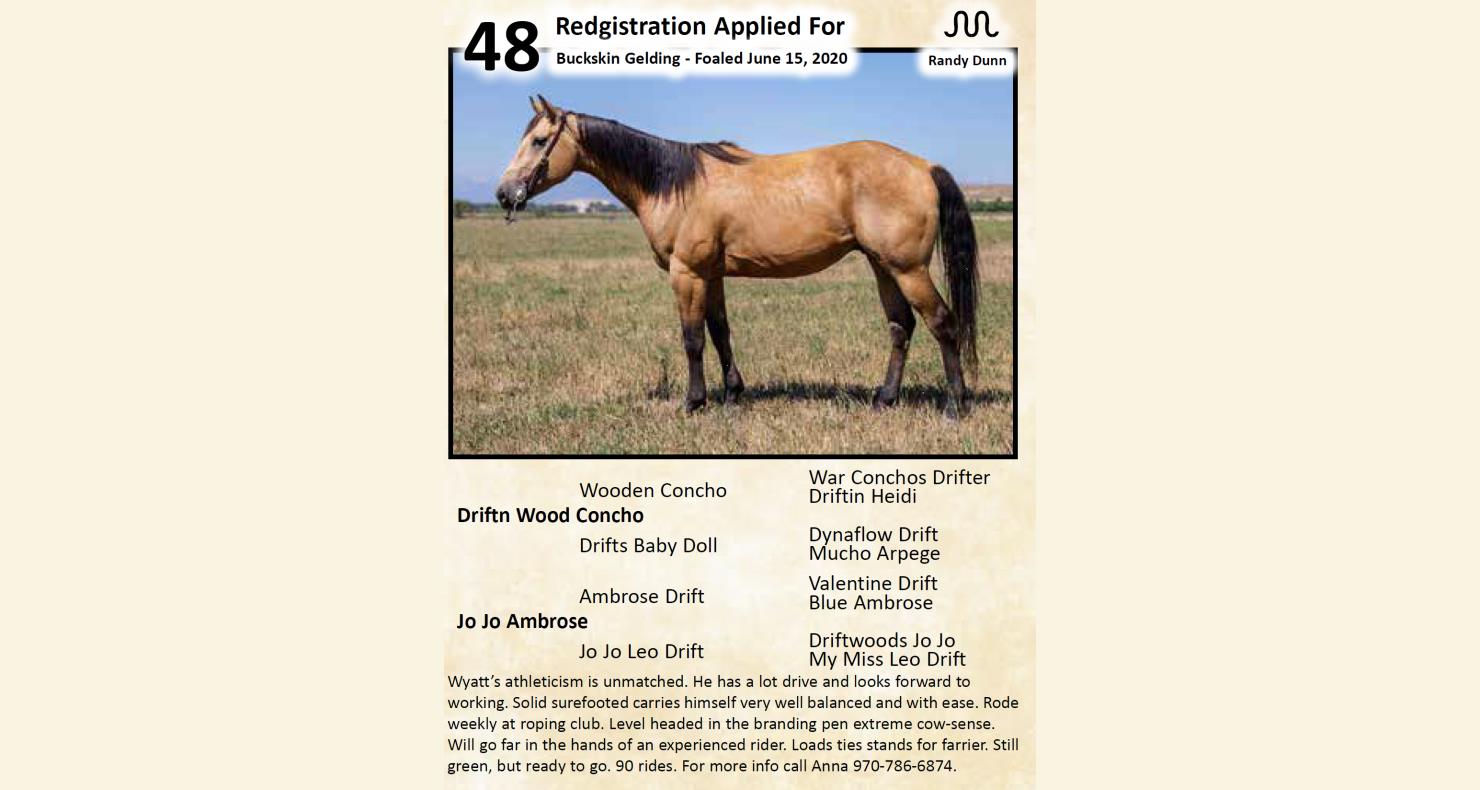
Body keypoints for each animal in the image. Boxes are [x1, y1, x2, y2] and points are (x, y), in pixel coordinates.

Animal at [494, 95, 981, 418]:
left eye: (539, 141)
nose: (504, 193)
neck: (675, 184)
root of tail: (924, 166)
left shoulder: (687, 274)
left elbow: (692, 339)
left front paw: (694, 402)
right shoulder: (711, 275)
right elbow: (720, 333)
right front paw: (732, 394)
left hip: (908, 269)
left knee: (943, 324)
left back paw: (954, 406)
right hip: (883, 266)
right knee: (901, 327)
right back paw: (884, 399)